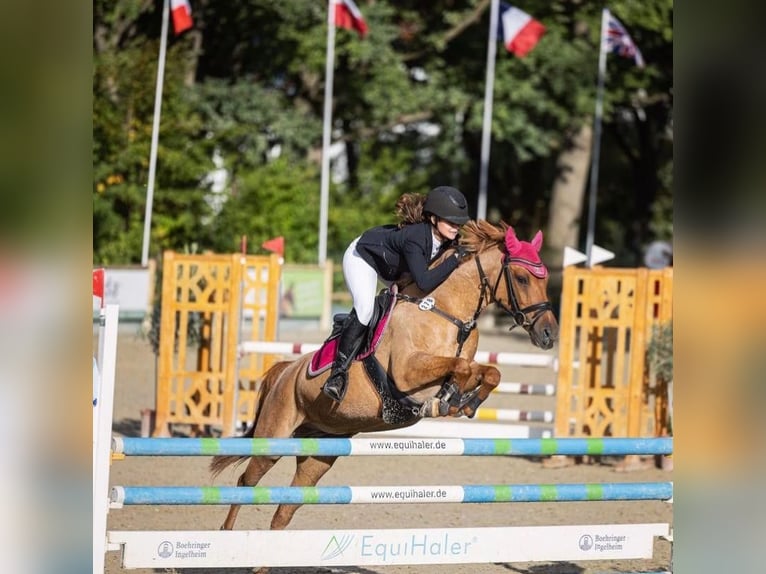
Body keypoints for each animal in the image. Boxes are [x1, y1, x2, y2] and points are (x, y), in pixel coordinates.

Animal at [210, 222, 560, 536]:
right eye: (522, 277)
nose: (549, 335)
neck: (445, 311)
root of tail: (285, 371)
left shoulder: (459, 363)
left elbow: (487, 371)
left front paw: (466, 402)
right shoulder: (407, 373)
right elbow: (460, 367)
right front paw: (447, 400)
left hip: (320, 452)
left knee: (285, 510)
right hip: (274, 438)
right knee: (246, 483)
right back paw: (227, 535)